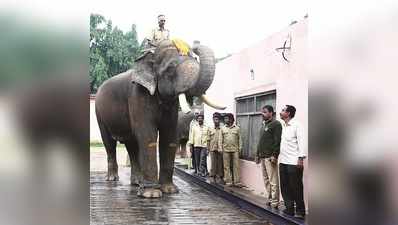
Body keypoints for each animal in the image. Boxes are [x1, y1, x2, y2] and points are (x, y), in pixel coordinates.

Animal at [93, 39, 224, 198]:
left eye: (194, 59)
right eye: (171, 68)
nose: (195, 44)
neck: (149, 56)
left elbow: (169, 136)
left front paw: (170, 190)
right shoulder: (138, 95)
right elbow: (147, 135)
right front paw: (152, 194)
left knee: (132, 145)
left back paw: (137, 182)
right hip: (99, 114)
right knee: (109, 144)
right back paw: (113, 179)